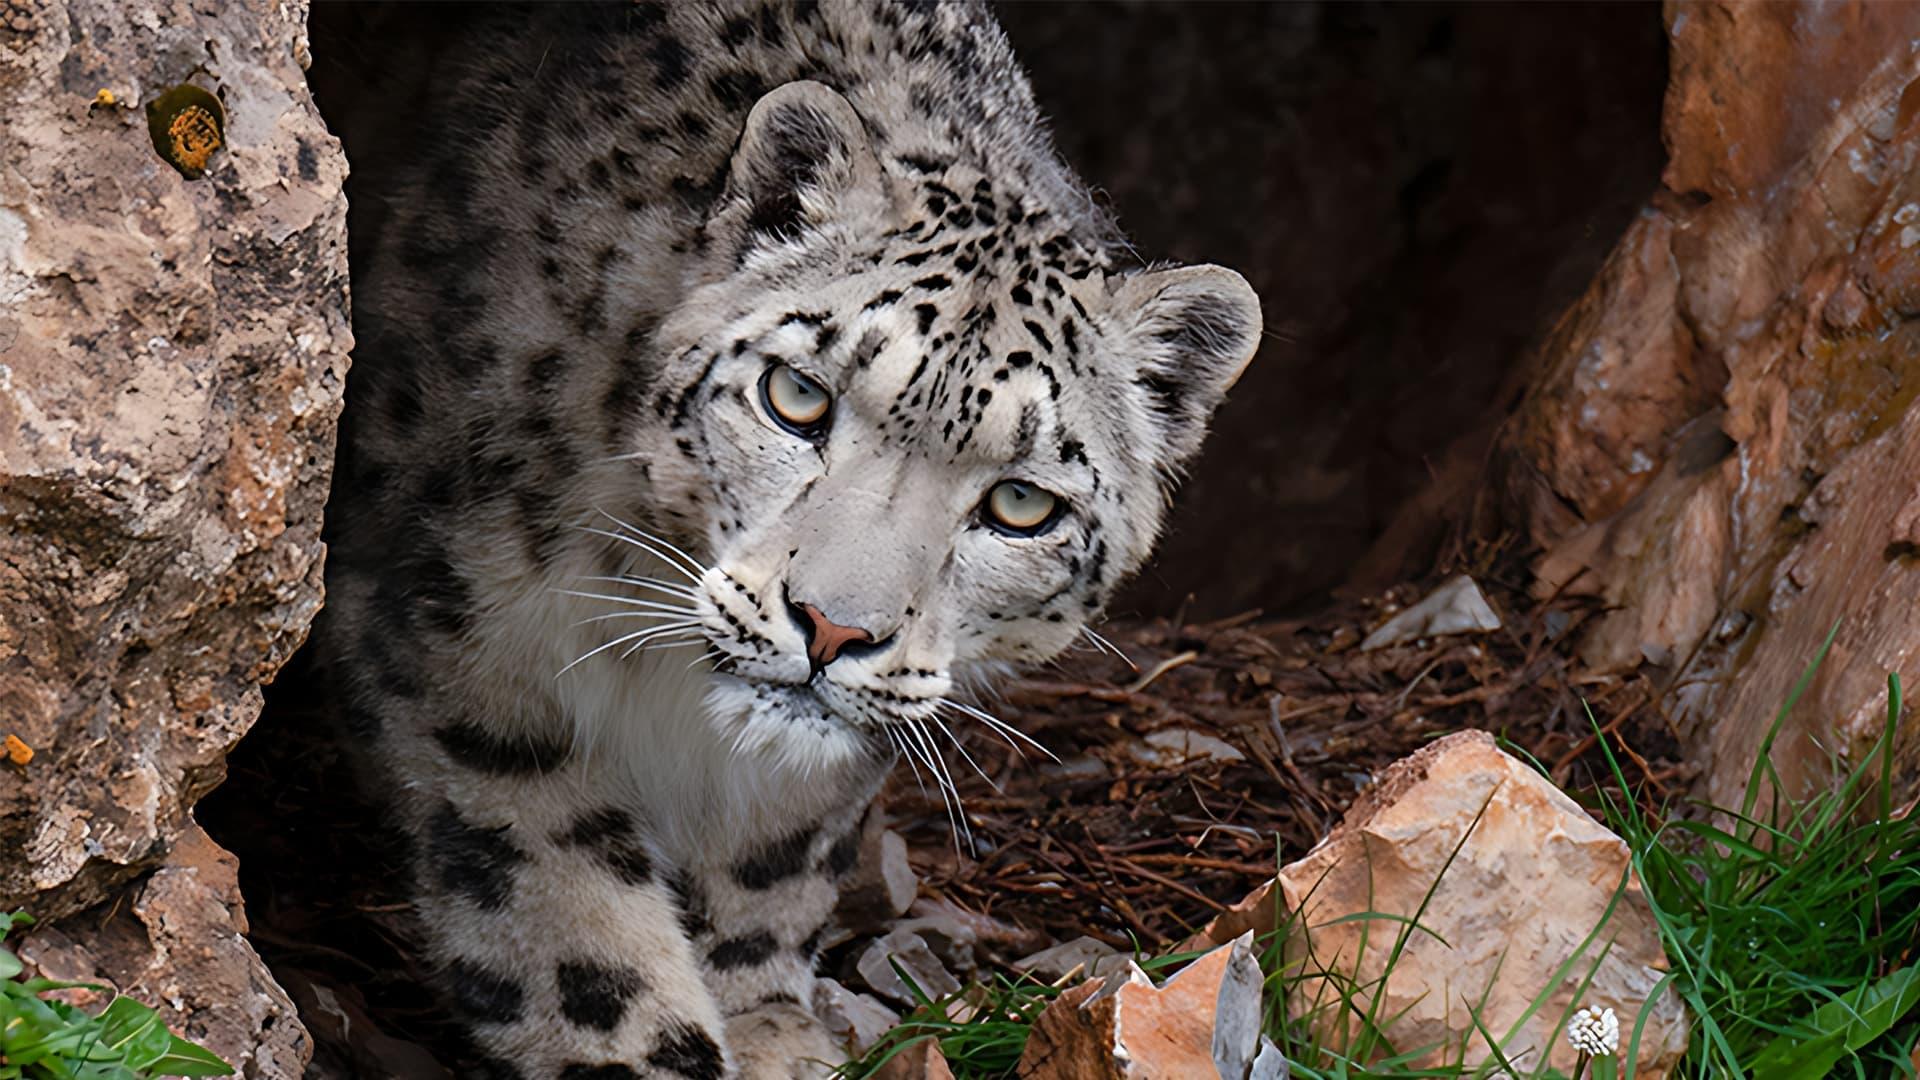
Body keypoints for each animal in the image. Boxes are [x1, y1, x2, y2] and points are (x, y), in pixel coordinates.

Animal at [318, 4, 1259, 1068]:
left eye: (1022, 504)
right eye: (797, 395)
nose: (834, 629)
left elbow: (778, 856)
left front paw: (770, 1026)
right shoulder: (459, 634)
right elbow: (569, 918)